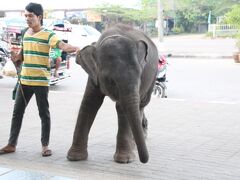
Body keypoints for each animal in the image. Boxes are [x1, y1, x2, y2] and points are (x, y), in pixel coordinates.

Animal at [66, 23, 158, 163]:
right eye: (111, 81)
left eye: (139, 77)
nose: (144, 160)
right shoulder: (94, 75)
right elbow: (89, 102)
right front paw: (74, 158)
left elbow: (121, 107)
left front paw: (124, 160)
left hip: (153, 78)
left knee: (142, 104)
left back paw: (134, 144)